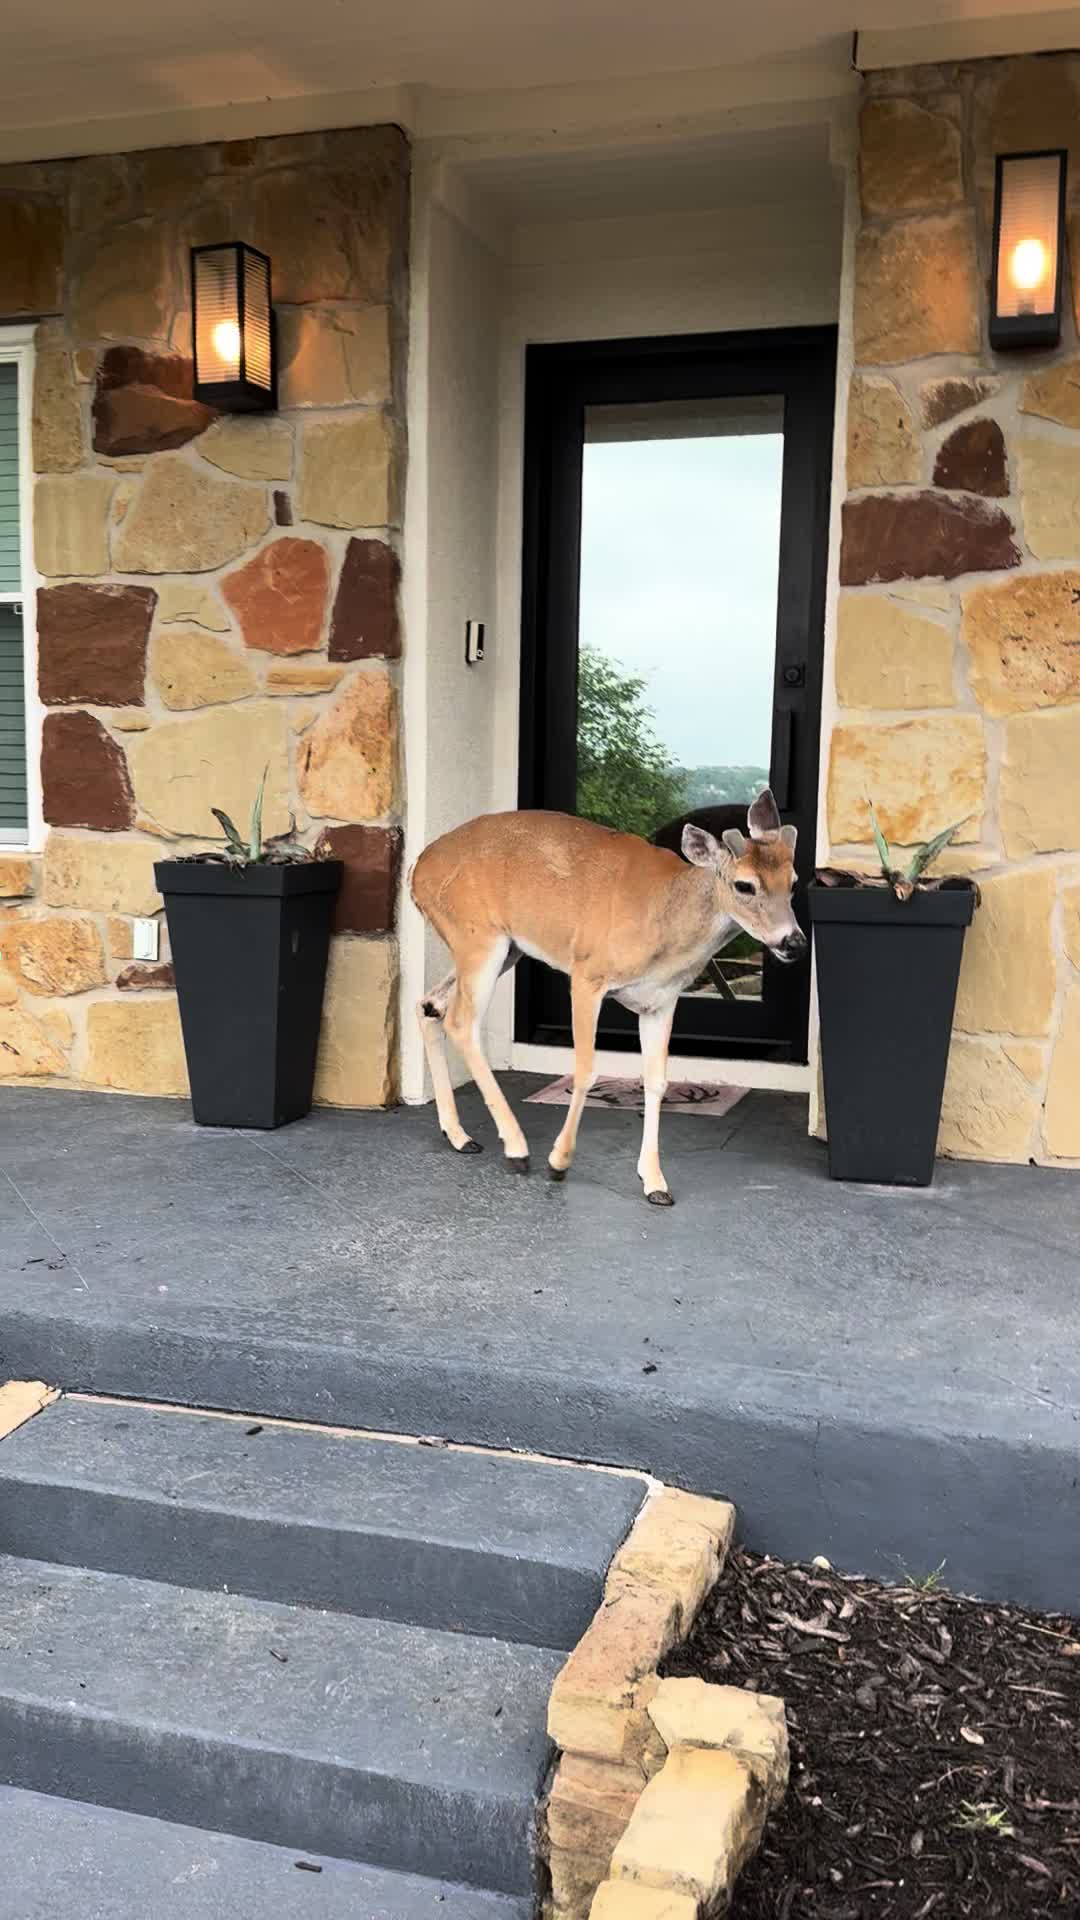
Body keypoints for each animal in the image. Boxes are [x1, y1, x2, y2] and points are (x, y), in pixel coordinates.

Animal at [409, 788, 805, 1206]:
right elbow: (585, 1070)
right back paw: (516, 1149)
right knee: (460, 1021)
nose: (793, 942)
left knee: (430, 1006)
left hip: (503, 949)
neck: (666, 922)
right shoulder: (587, 974)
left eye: (794, 881)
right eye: (744, 885)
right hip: (478, 936)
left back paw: (459, 1135)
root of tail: (416, 871)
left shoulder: (660, 1000)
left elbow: (657, 1082)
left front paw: (655, 1182)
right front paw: (559, 1162)